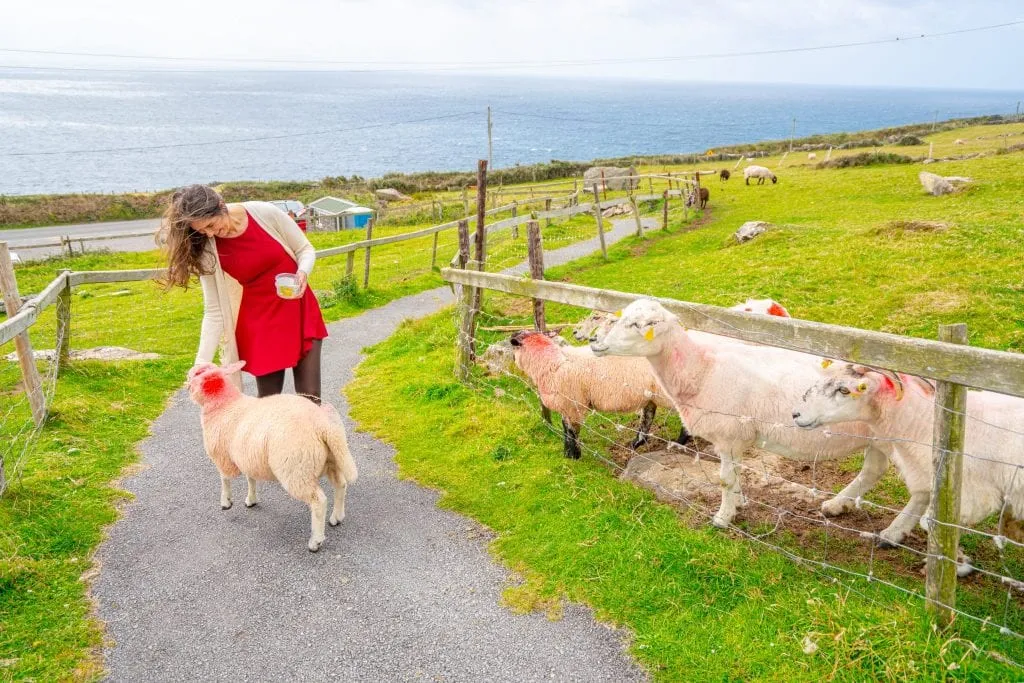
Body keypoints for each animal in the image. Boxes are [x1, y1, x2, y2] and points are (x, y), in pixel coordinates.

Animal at [188, 360, 360, 552]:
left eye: (195, 374)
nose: (187, 385)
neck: (224, 404)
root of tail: (322, 425)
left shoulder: (222, 456)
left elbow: (225, 479)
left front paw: (226, 502)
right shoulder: (247, 455)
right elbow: (251, 479)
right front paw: (251, 499)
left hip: (296, 468)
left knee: (319, 501)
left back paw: (315, 541)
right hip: (333, 459)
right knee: (341, 485)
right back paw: (337, 517)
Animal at [593, 301, 905, 536]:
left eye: (640, 324)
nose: (596, 341)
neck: (701, 370)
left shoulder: (729, 435)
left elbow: (724, 480)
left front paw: (723, 517)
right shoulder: (738, 438)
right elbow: (737, 474)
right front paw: (739, 502)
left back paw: (893, 534)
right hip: (877, 439)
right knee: (873, 470)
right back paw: (837, 506)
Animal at [794, 362, 1024, 565]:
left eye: (844, 390)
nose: (796, 413)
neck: (924, 420)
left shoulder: (972, 494)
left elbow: (938, 522)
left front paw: (950, 562)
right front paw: (895, 533)